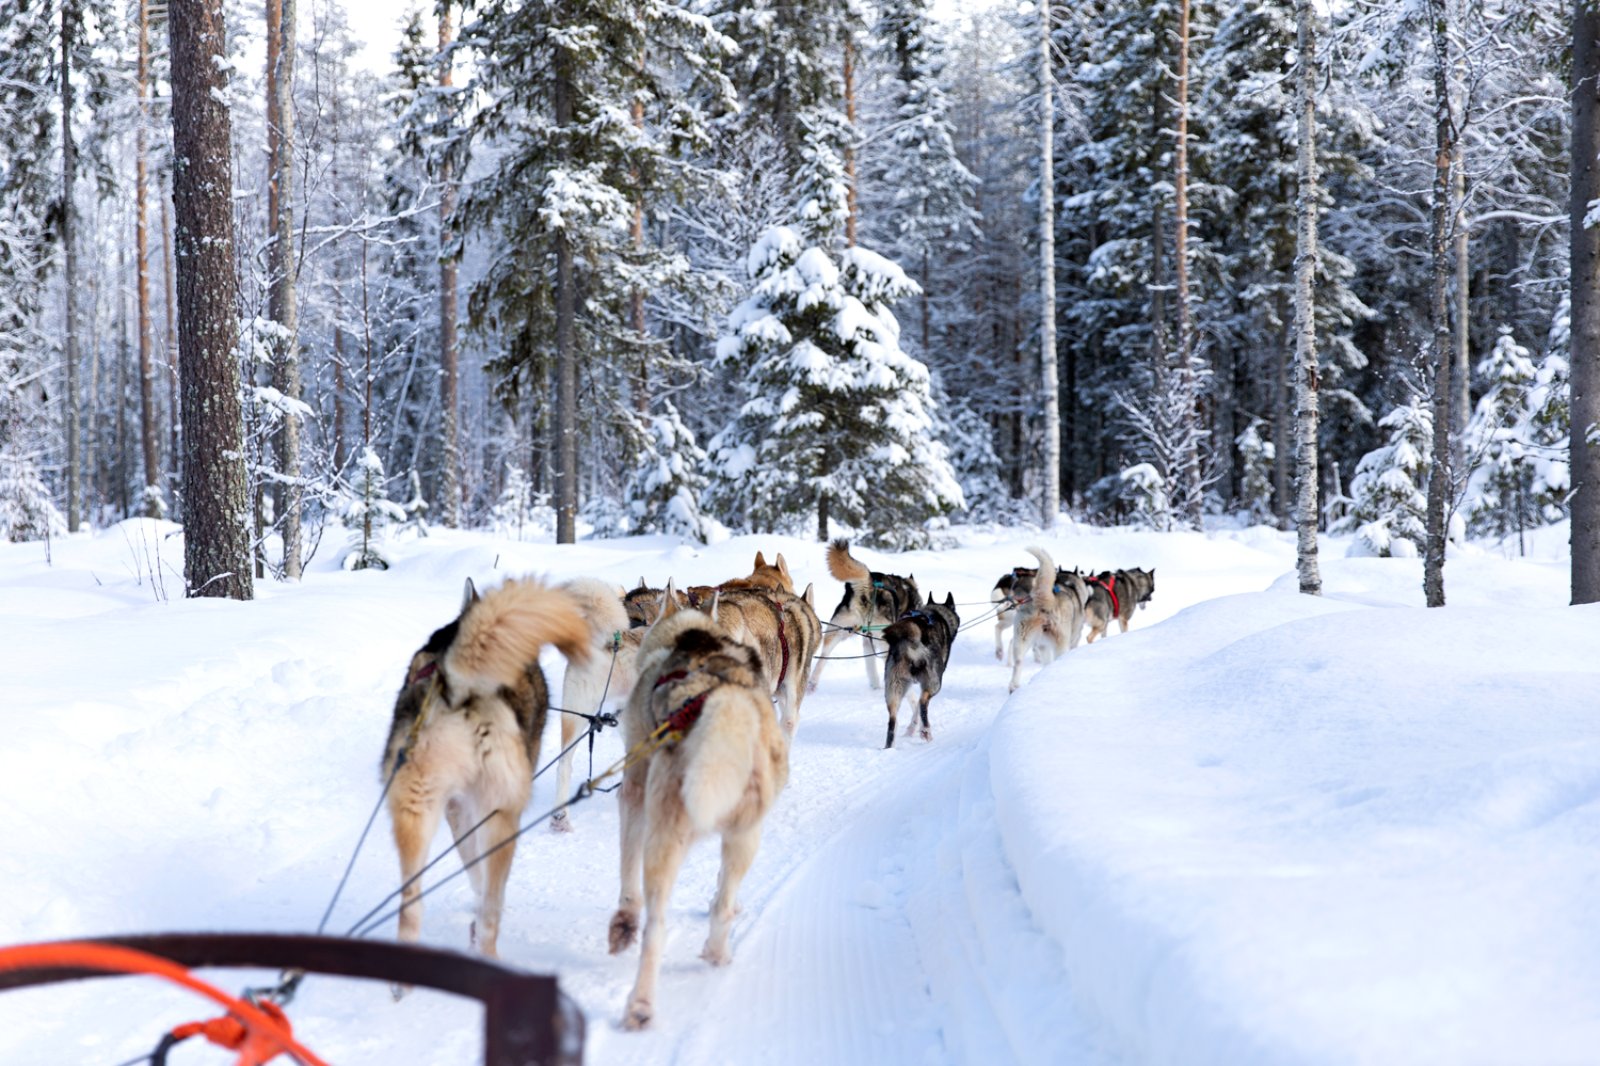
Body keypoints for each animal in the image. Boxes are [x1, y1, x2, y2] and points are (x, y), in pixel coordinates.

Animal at [380, 576, 588, 960]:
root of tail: (456, 688)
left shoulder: (455, 810)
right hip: (499, 816)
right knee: (491, 909)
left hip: (416, 810)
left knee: (411, 907)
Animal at [608, 589, 790, 1030]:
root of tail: (724, 701)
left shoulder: (632, 793)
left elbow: (627, 886)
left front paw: (623, 925)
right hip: (745, 835)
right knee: (722, 907)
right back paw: (717, 952)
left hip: (663, 839)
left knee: (655, 928)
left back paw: (640, 1005)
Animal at [812, 541, 928, 688]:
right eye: (918, 605)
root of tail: (869, 585)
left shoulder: (867, 640)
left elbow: (870, 664)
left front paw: (875, 685)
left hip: (838, 631)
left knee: (823, 656)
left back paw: (812, 683)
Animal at [883, 589, 953, 745]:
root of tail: (910, 642)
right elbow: (917, 710)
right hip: (934, 683)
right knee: (922, 703)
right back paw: (926, 731)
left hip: (894, 689)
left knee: (892, 721)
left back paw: (890, 745)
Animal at [1004, 547, 1094, 688]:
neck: (1068, 584)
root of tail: (1045, 601)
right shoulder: (1073, 639)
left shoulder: (1043, 645)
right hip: (1061, 644)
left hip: (1021, 640)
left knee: (1018, 663)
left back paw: (1014, 687)